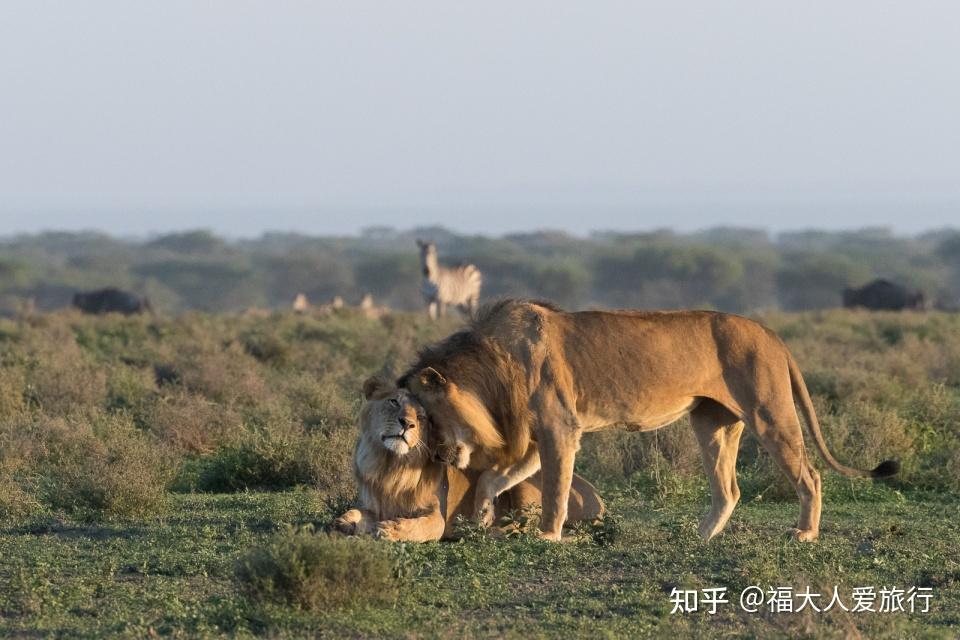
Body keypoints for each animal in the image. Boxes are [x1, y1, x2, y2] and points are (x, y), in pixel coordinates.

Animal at [338, 376, 604, 540]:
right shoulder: (374, 504)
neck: (391, 465)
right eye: (393, 401)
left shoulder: (437, 516)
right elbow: (356, 511)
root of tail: (597, 495)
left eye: (423, 417)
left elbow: (418, 527)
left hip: (527, 488)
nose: (407, 423)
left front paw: (390, 530)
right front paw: (345, 522)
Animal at [400, 298, 900, 540]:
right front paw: (482, 518)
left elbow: (556, 492)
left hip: (769, 412)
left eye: (425, 417)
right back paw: (701, 537)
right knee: (729, 489)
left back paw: (805, 534)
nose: (439, 456)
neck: (493, 367)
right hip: (712, 423)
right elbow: (496, 478)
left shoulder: (561, 428)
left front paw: (546, 536)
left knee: (810, 476)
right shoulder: (541, 438)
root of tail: (772, 333)